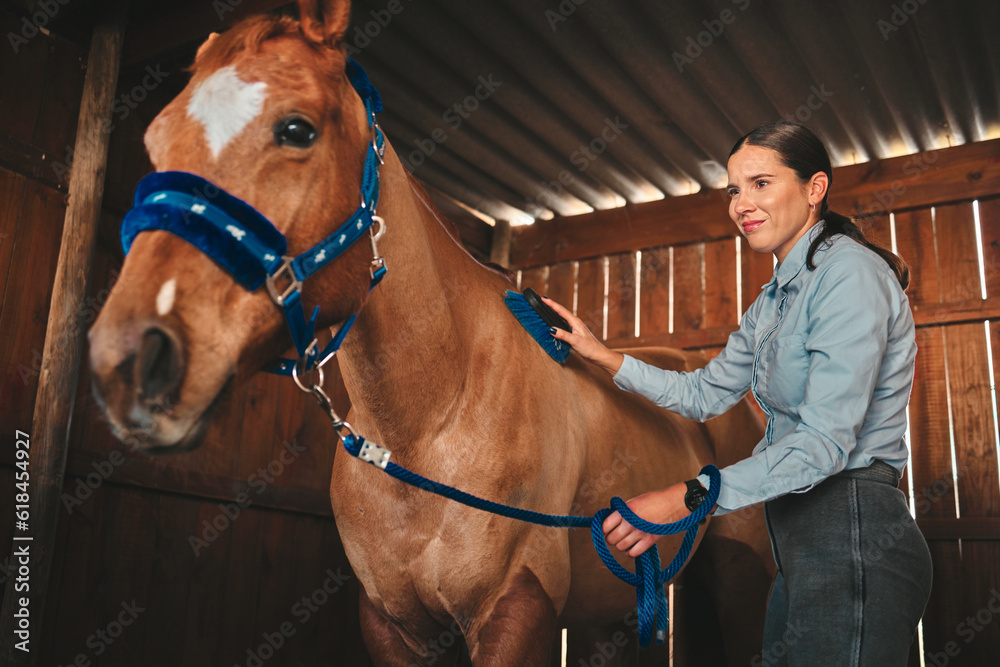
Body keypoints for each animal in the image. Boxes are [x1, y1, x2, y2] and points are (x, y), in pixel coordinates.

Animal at [86, 2, 772, 664]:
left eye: (297, 129)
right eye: (155, 138)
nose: (128, 362)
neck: (427, 425)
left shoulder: (516, 610)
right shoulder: (392, 625)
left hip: (739, 576)